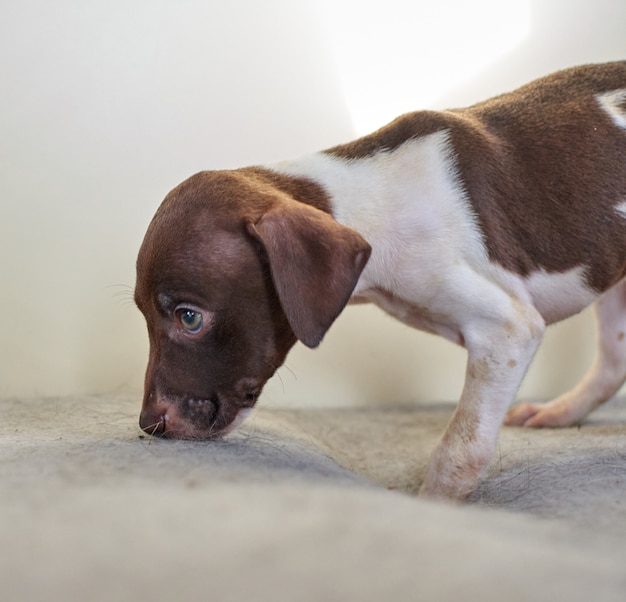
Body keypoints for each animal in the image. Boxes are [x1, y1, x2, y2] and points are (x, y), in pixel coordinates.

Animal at [133, 63, 624, 500]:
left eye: (189, 318)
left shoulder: (507, 331)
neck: (369, 200)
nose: (148, 425)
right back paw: (562, 412)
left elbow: (459, 450)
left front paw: (435, 505)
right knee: (612, 362)